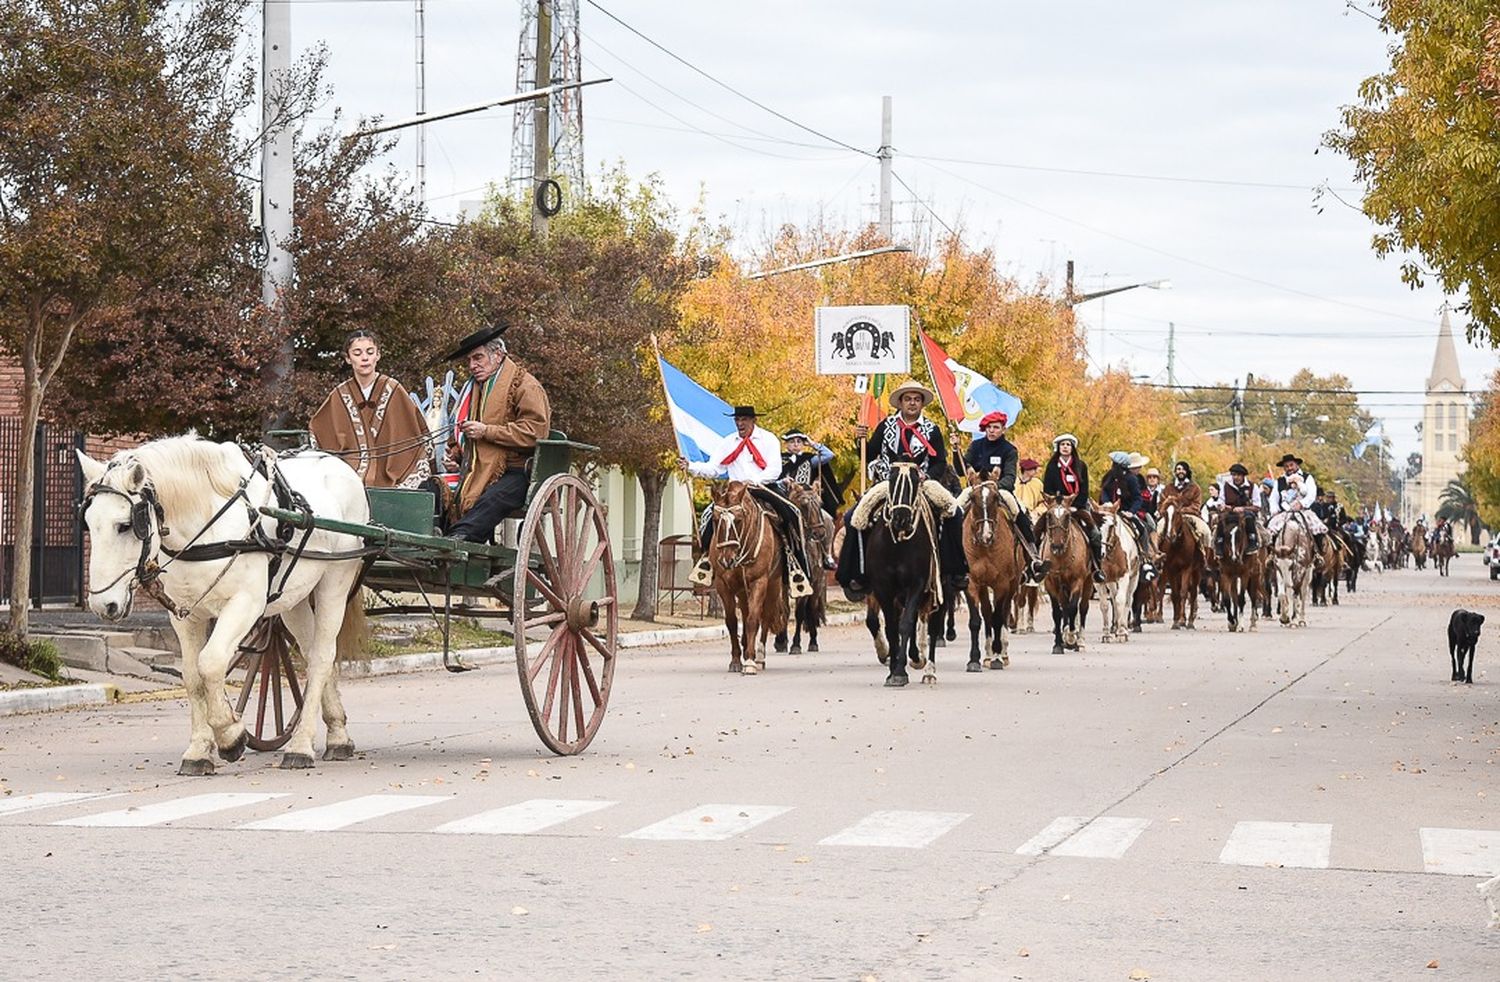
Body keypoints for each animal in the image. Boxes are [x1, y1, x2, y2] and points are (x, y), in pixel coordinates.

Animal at [79, 437, 369, 773]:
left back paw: (300, 746)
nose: (103, 604)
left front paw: (230, 735)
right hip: (293, 598)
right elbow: (192, 676)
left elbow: (212, 662)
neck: (206, 522)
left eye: (125, 525)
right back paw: (337, 734)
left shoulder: (247, 603)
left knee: (322, 657)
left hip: (335, 581)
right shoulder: (185, 615)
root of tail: (340, 465)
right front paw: (199, 751)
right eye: (88, 523)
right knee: (312, 653)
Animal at [708, 482, 792, 677]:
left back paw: (759, 656)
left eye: (738, 520)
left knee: (765, 617)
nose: (726, 560)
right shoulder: (723, 585)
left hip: (773, 585)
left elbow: (754, 619)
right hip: (742, 591)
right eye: (715, 520)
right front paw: (736, 660)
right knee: (745, 614)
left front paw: (750, 662)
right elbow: (732, 622)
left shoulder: (759, 582)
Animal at [966, 473, 1026, 671]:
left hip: (1013, 583)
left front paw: (998, 656)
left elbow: (999, 617)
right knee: (987, 613)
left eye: (996, 498)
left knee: (1005, 611)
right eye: (972, 498)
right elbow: (977, 620)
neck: (984, 548)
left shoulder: (1002, 584)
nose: (986, 535)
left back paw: (1002, 653)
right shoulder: (971, 582)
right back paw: (987, 654)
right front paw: (974, 659)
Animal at [1038, 500, 1098, 653]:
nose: (1057, 546)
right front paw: (1059, 644)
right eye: (1049, 516)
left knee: (1082, 608)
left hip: (1088, 582)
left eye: (1067, 516)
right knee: (1064, 607)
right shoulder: (1051, 584)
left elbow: (1073, 608)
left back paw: (1080, 641)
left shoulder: (1077, 582)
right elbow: (1057, 612)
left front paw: (1071, 637)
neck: (1061, 557)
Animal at [1098, 506, 1140, 644]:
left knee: (1128, 599)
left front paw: (1122, 633)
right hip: (1111, 581)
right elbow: (1105, 605)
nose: (1100, 552)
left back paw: (1123, 628)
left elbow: (1121, 601)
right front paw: (1106, 634)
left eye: (1111, 526)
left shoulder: (1124, 577)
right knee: (1113, 597)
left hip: (1134, 578)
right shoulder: (1099, 581)